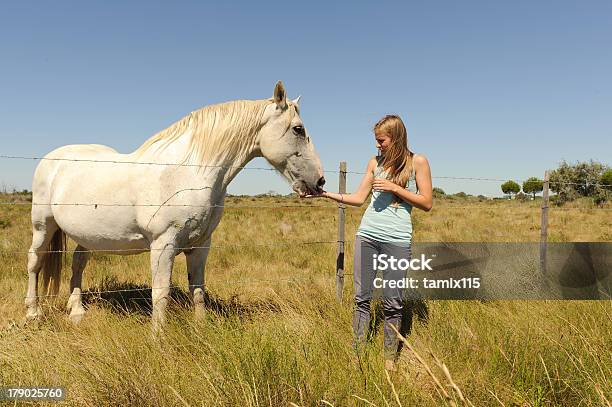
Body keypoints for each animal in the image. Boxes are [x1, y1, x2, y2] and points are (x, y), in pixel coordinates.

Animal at [25, 81, 326, 334]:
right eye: (298, 129)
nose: (319, 182)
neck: (188, 172)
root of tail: (52, 159)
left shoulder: (201, 246)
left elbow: (198, 291)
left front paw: (201, 330)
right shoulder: (163, 245)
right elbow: (161, 293)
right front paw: (158, 338)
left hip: (87, 235)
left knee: (78, 263)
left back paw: (76, 312)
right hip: (43, 226)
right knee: (35, 262)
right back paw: (33, 314)